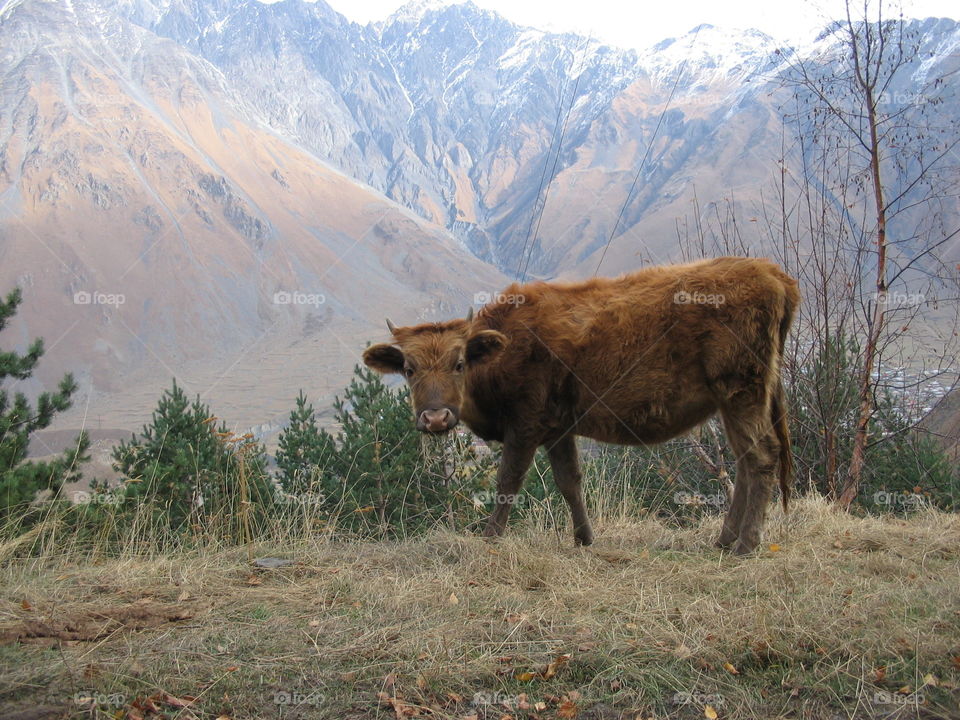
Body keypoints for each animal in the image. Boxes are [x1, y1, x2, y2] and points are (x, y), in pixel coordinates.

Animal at [364, 256, 800, 556]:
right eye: (408, 369)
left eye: (459, 364)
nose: (436, 417)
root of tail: (770, 271)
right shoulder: (558, 428)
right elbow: (570, 482)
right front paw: (584, 538)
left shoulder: (525, 424)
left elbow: (508, 482)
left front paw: (490, 537)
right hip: (732, 399)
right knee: (745, 459)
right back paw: (725, 538)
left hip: (743, 390)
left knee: (762, 456)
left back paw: (746, 543)